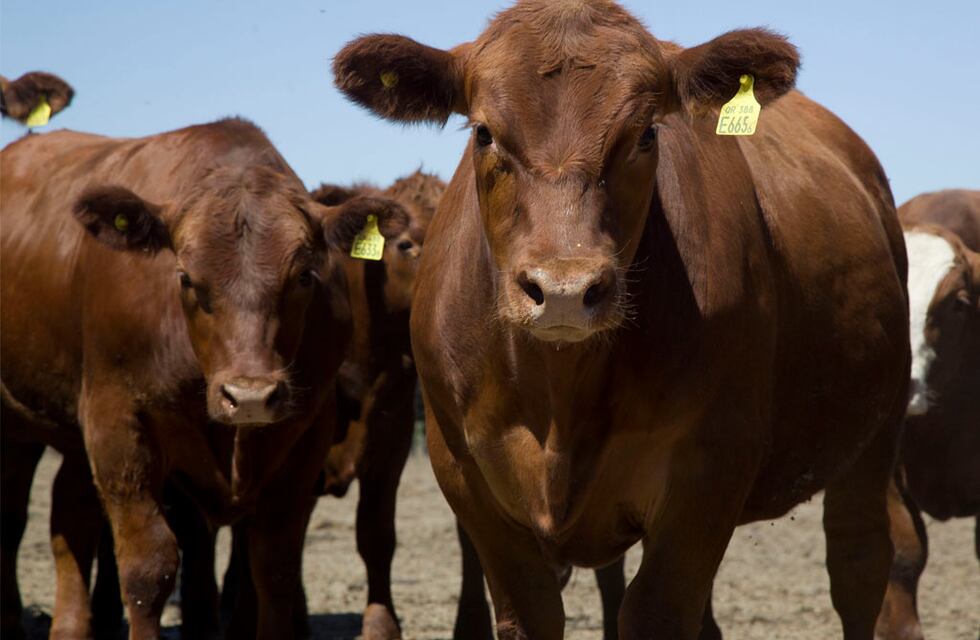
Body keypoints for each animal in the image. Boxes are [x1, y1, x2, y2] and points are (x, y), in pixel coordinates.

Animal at [0, 117, 408, 640]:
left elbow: (274, 566)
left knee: (67, 513)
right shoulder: (117, 423)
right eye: (186, 278)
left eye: (304, 276)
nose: (250, 396)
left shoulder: (306, 431)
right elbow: (148, 567)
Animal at [333, 1, 910, 638]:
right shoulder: (465, 475)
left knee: (859, 562)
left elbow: (656, 611)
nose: (563, 290)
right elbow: (529, 611)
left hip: (877, 431)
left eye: (646, 134)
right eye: (484, 133)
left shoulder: (709, 470)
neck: (560, 400)